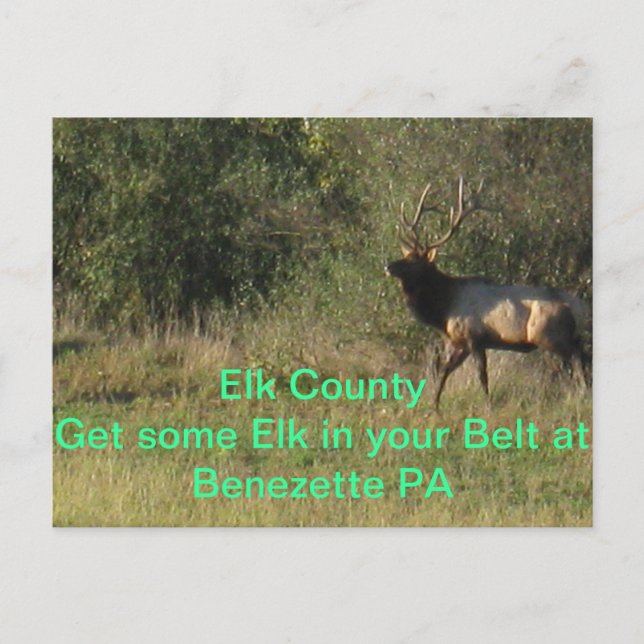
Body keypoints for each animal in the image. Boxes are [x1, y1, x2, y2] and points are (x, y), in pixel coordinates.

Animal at [386, 176, 589, 409]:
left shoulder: (474, 338)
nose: (388, 266)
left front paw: (488, 405)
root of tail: (580, 308)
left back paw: (582, 393)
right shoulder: (459, 342)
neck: (443, 309)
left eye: (414, 261)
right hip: (566, 335)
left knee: (578, 357)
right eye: (405, 255)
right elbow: (443, 372)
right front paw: (433, 406)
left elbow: (481, 376)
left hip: (549, 334)